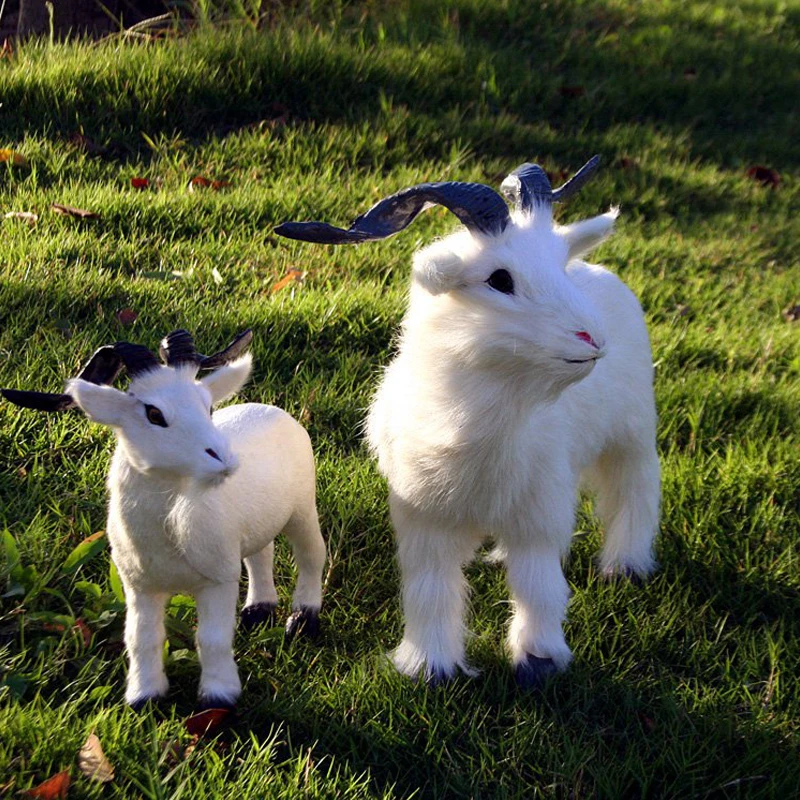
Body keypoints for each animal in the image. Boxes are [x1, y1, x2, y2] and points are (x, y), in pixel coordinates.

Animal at [2, 330, 326, 708]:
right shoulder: (139, 585)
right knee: (260, 554)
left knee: (311, 556)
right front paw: (144, 695)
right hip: (255, 525)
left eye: (207, 406)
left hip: (302, 508)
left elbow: (212, 639)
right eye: (154, 413)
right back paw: (258, 610)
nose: (224, 459)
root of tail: (269, 408)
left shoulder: (218, 579)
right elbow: (141, 638)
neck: (170, 532)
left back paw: (302, 620)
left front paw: (219, 697)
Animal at [275, 157, 660, 687]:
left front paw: (538, 662)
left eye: (556, 264)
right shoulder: (424, 518)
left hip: (633, 431)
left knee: (635, 490)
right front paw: (428, 666)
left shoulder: (540, 514)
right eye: (499, 280)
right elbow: (431, 589)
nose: (592, 338)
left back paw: (626, 565)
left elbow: (538, 585)